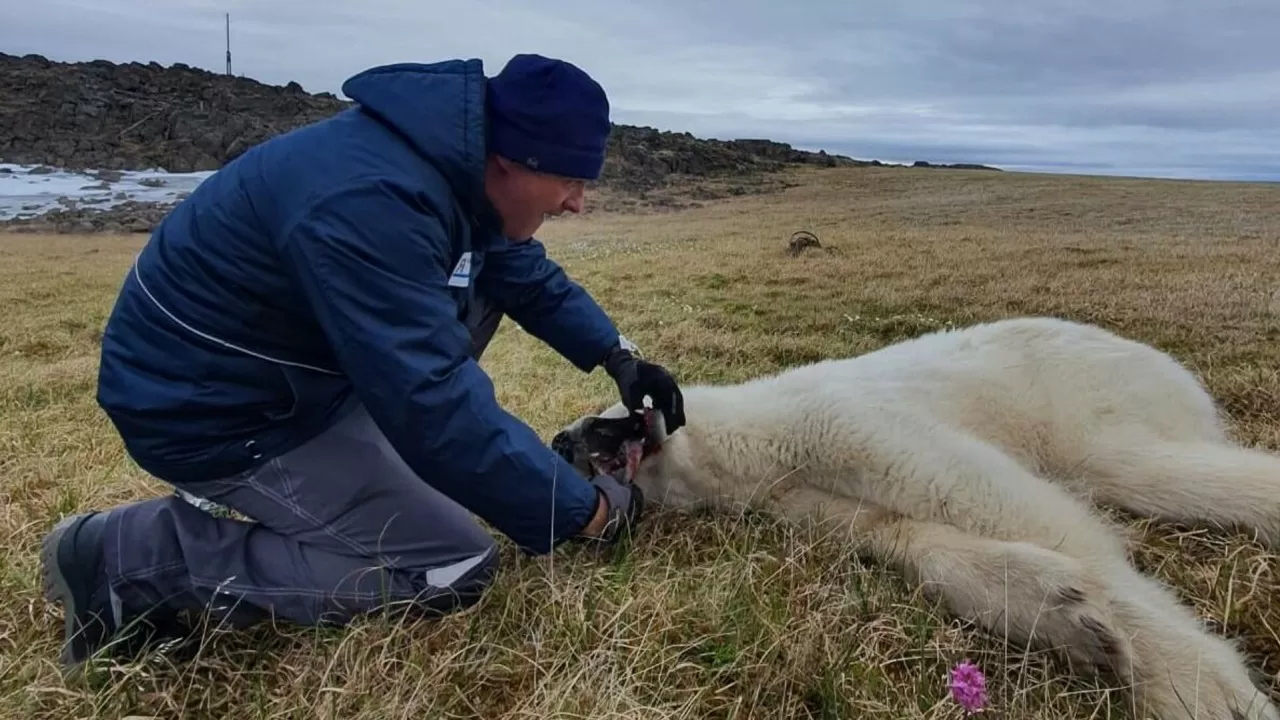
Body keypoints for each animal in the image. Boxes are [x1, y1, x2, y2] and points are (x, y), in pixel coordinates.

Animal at [550, 316, 1280, 717]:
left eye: (603, 416)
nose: (561, 441)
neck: (746, 442)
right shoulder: (802, 497)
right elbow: (905, 536)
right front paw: (1068, 615)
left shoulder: (835, 422)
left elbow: (988, 497)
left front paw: (1196, 688)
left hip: (1085, 393)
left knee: (1139, 463)